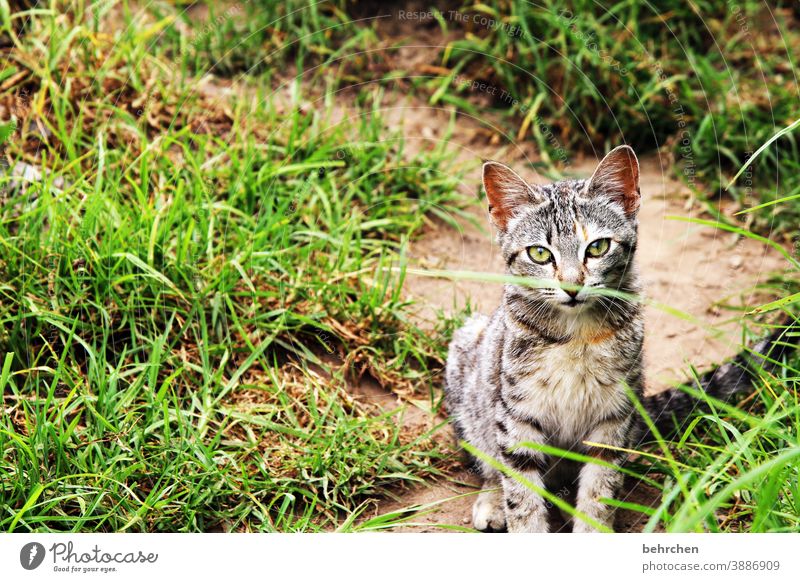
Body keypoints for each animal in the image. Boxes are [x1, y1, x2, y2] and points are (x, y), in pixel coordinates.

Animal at [446, 146, 792, 532]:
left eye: (597, 247)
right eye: (539, 253)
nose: (572, 286)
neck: (576, 334)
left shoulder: (614, 413)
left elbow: (599, 487)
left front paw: (591, 527)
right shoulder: (518, 413)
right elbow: (521, 492)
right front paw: (525, 524)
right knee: (490, 461)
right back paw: (492, 500)